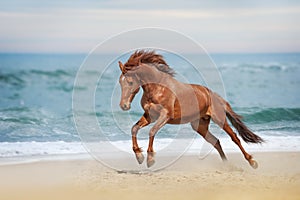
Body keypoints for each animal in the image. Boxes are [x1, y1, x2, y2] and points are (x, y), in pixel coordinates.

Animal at [118, 50, 264, 169]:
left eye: (130, 82)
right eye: (120, 82)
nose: (124, 106)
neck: (158, 88)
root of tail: (213, 95)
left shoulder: (165, 116)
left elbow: (152, 131)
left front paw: (150, 159)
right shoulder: (150, 116)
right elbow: (134, 128)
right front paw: (139, 156)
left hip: (219, 119)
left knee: (235, 138)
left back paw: (252, 162)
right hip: (200, 125)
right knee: (215, 141)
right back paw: (227, 165)